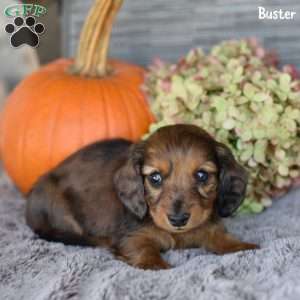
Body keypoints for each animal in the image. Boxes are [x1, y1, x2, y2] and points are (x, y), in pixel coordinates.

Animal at [26, 124, 258, 270]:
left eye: (202, 175)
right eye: (155, 178)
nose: (178, 220)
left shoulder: (209, 226)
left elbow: (221, 237)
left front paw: (242, 247)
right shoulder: (131, 236)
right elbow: (143, 248)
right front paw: (154, 265)